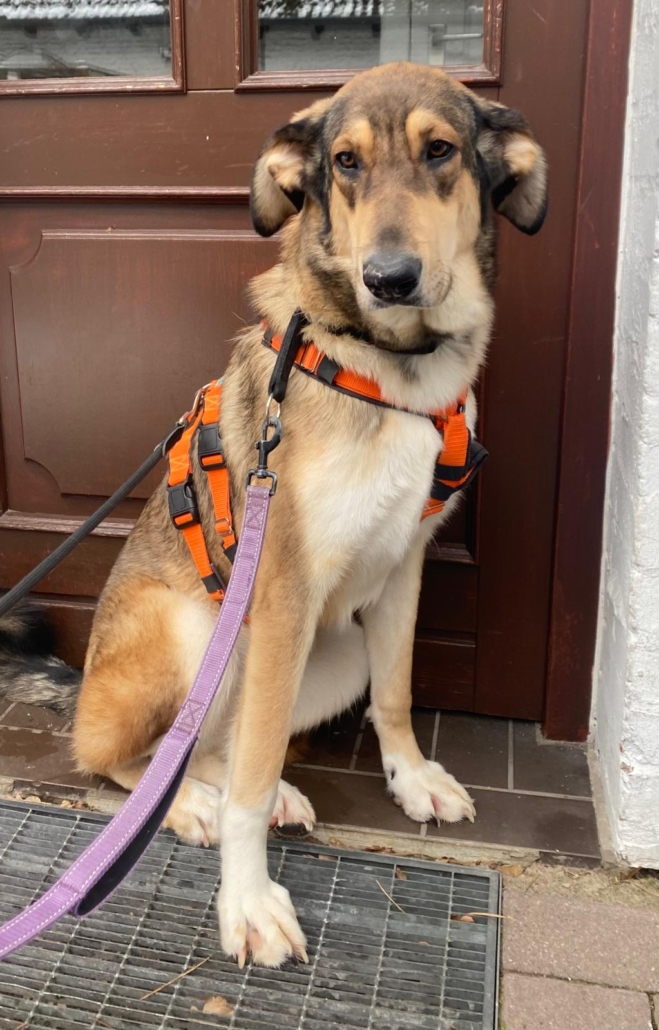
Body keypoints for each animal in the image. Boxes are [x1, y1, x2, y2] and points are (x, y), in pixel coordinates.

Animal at [0, 62, 547, 967]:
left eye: (440, 150)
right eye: (346, 163)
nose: (388, 277)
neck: (390, 367)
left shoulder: (403, 571)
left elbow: (396, 695)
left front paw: (410, 778)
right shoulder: (285, 588)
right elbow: (246, 786)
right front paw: (248, 900)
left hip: (321, 654)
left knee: (218, 744)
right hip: (197, 632)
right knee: (125, 758)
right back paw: (188, 804)